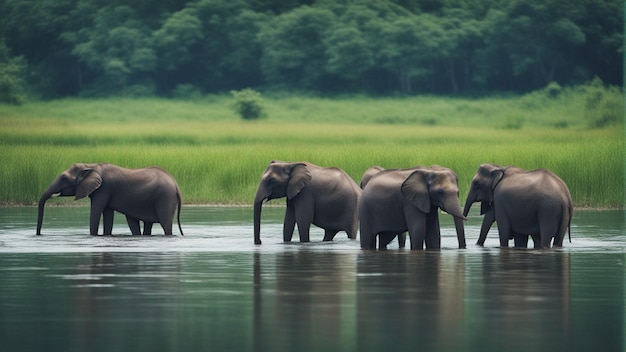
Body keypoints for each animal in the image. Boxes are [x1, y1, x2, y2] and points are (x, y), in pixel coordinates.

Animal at [37, 163, 183, 235]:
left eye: (64, 178)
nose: (38, 234)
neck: (91, 165)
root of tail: (176, 184)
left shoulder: (103, 188)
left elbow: (96, 211)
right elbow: (107, 214)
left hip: (165, 197)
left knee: (166, 224)